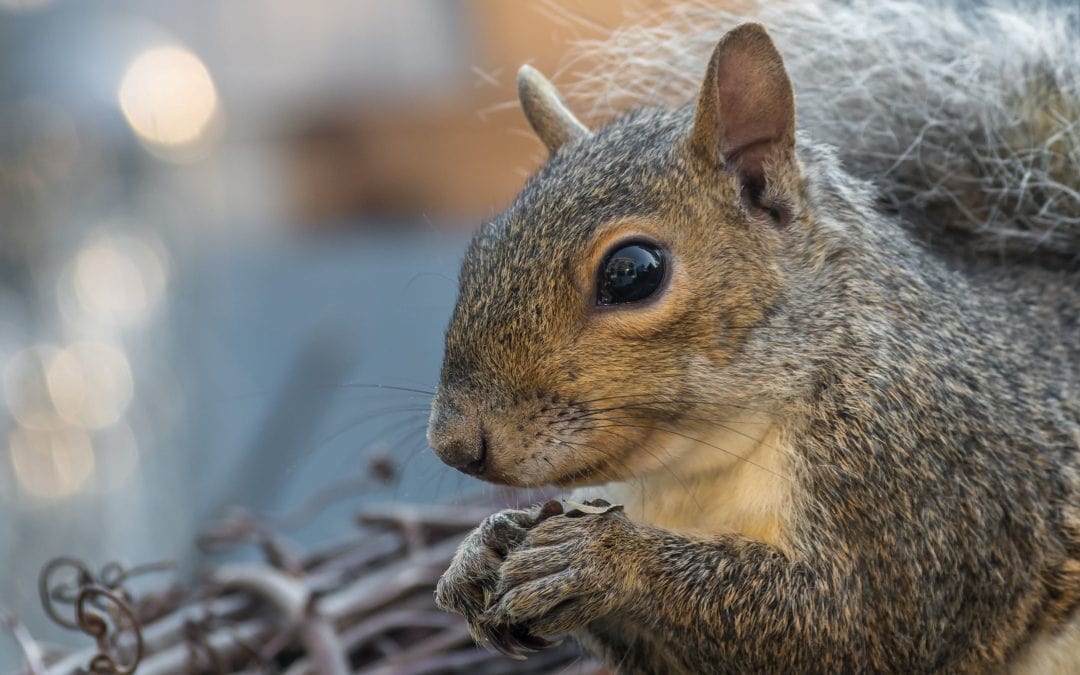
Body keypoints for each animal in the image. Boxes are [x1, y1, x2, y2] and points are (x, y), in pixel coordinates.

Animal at [426, 1, 1080, 672]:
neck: (703, 463)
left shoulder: (918, 487)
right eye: (478, 250)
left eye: (632, 272)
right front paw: (481, 550)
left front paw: (607, 561)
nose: (453, 445)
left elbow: (851, 626)